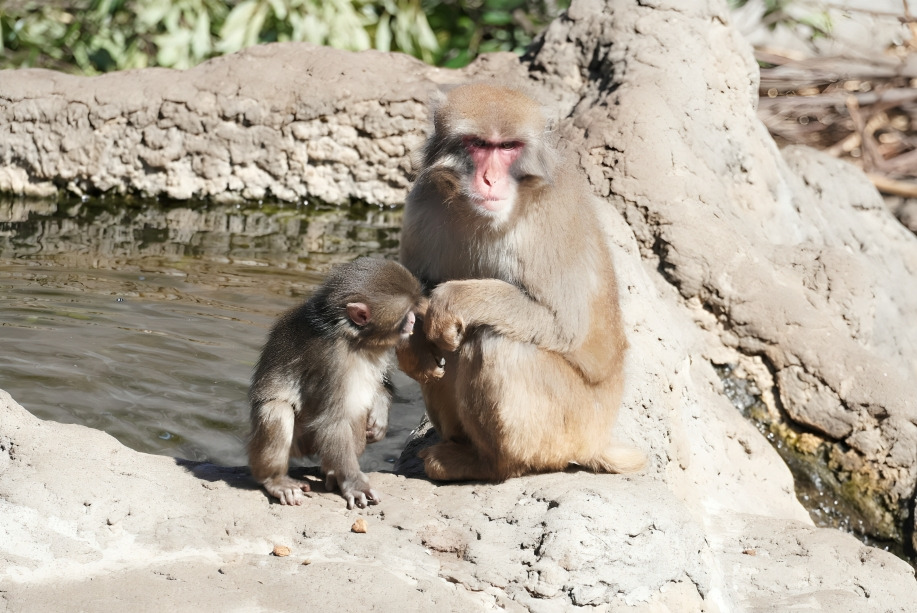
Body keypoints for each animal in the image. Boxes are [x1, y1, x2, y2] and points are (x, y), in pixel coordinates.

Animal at [248, 257, 424, 509]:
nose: (413, 321)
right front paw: (354, 482)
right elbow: (332, 421)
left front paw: (381, 412)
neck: (353, 338)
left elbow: (381, 383)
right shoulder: (332, 360)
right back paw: (275, 479)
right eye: (405, 315)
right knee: (278, 409)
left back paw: (331, 472)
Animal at [397, 83, 645, 482]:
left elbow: (563, 324)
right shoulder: (423, 200)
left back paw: (491, 464)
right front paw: (410, 344)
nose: (489, 178)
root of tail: (598, 439)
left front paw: (452, 299)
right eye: (478, 144)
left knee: (495, 341)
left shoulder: (552, 218)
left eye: (508, 147)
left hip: (571, 425)